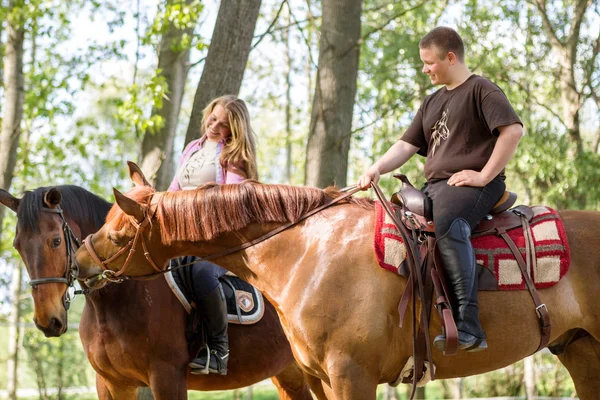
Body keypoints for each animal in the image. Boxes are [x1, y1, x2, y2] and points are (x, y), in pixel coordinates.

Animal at [74, 163, 600, 400]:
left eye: (119, 234)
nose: (79, 262)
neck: (307, 252)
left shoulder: (352, 375)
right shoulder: (321, 377)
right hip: (582, 352)